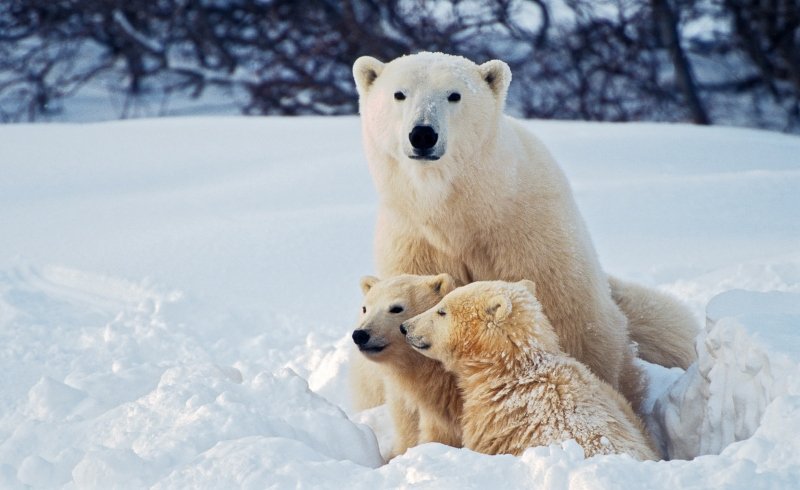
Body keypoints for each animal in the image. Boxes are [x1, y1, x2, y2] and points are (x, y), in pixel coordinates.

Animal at [350, 51, 692, 408]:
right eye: (399, 94)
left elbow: (570, 320)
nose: (423, 134)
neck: (461, 212)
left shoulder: (527, 233)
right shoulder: (414, 242)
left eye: (454, 95)